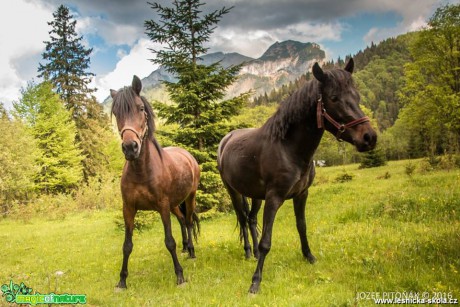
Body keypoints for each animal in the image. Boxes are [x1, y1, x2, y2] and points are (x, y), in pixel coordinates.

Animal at [111, 76, 199, 288]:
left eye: (141, 108)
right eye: (116, 113)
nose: (130, 147)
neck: (142, 172)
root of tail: (188, 156)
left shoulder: (163, 206)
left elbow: (169, 241)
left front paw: (180, 276)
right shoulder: (128, 208)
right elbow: (127, 245)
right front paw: (122, 281)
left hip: (189, 198)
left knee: (189, 222)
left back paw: (191, 251)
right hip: (175, 204)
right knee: (182, 220)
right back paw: (186, 248)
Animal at [217, 58, 376, 294]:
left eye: (356, 96)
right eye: (334, 98)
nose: (369, 137)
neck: (288, 148)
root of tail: (226, 140)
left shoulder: (302, 194)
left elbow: (302, 226)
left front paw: (309, 257)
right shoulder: (274, 198)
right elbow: (266, 240)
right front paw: (255, 281)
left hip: (254, 195)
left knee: (251, 218)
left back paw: (253, 252)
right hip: (233, 192)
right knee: (243, 220)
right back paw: (247, 252)